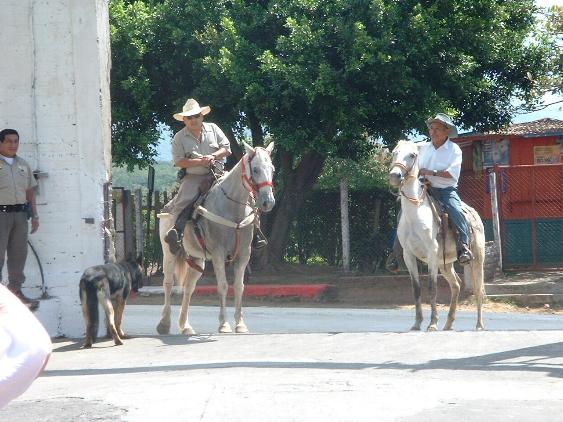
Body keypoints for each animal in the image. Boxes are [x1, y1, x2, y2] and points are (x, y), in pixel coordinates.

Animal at [157, 141, 275, 335]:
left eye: (272, 169)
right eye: (256, 169)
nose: (268, 202)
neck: (232, 207)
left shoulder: (244, 254)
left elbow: (239, 286)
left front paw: (240, 324)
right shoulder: (219, 253)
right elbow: (223, 286)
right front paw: (224, 324)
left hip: (197, 259)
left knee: (189, 288)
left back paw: (185, 326)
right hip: (169, 253)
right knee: (167, 283)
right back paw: (164, 323)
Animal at [388, 140, 486, 331]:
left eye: (412, 154)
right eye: (395, 152)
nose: (395, 175)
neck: (415, 214)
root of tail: (473, 213)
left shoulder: (431, 254)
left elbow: (432, 288)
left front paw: (432, 323)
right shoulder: (409, 256)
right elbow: (416, 289)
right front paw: (417, 323)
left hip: (477, 259)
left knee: (478, 289)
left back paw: (479, 325)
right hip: (445, 264)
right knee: (456, 285)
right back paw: (448, 323)